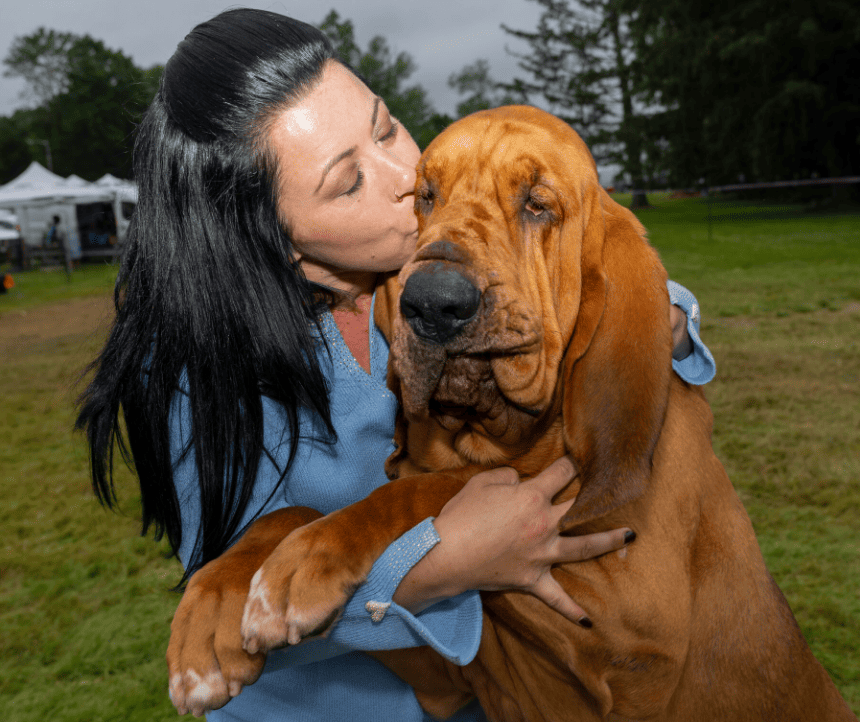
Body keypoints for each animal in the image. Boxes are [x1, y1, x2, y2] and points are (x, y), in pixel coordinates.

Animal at [165, 107, 856, 720]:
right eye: (425, 196)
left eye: (537, 205)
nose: (432, 302)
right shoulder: (444, 680)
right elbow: (290, 511)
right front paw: (212, 611)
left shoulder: (628, 620)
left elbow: (433, 487)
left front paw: (310, 557)